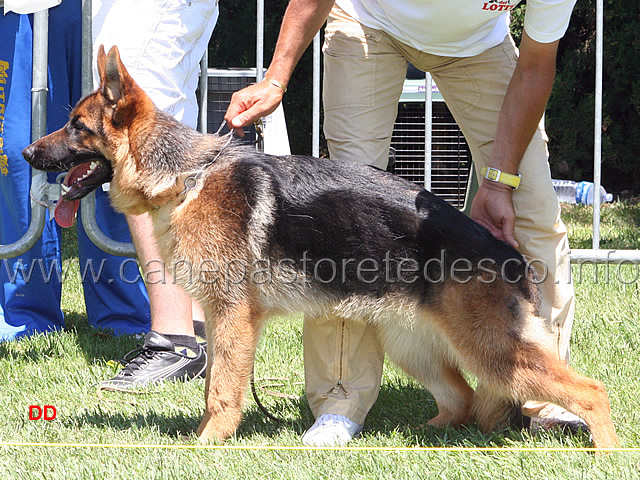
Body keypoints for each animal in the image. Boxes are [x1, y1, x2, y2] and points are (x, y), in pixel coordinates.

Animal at [22, 47, 616, 448]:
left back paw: (604, 451)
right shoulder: (221, 317)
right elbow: (217, 379)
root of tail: (506, 253)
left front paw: (208, 443)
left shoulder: (232, 316)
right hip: (416, 347)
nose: (26, 154)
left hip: (493, 353)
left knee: (590, 391)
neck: (186, 175)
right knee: (463, 399)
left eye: (75, 127)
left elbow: (222, 387)